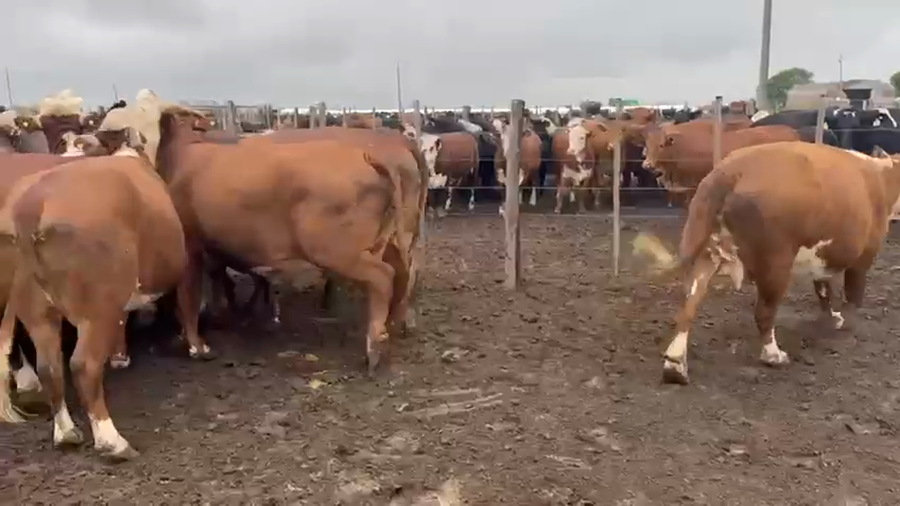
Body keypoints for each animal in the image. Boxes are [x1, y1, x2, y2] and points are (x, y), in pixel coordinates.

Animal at [0, 98, 197, 461]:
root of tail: (38, 203)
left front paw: (119, 355)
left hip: (36, 307)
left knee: (51, 367)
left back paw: (66, 433)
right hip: (96, 307)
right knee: (82, 365)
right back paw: (111, 441)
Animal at [633, 141, 900, 385]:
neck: (884, 177)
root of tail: (730, 171)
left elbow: (823, 288)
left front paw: (832, 317)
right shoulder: (864, 255)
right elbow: (853, 295)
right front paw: (846, 324)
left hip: (706, 252)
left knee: (689, 302)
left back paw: (675, 365)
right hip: (776, 264)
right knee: (764, 312)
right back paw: (773, 355)